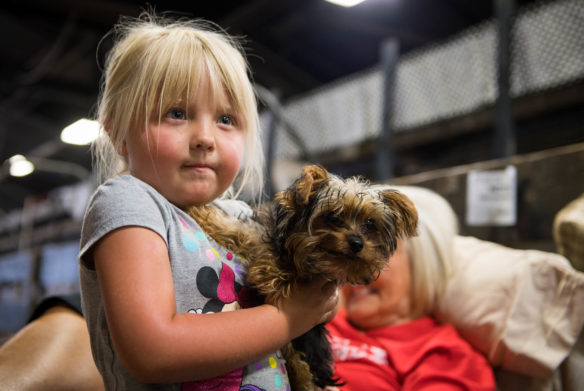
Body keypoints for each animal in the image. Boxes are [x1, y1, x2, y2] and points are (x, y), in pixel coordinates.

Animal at [189, 164, 418, 390]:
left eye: (370, 223)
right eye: (333, 217)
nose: (357, 243)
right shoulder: (259, 239)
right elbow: (241, 233)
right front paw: (198, 210)